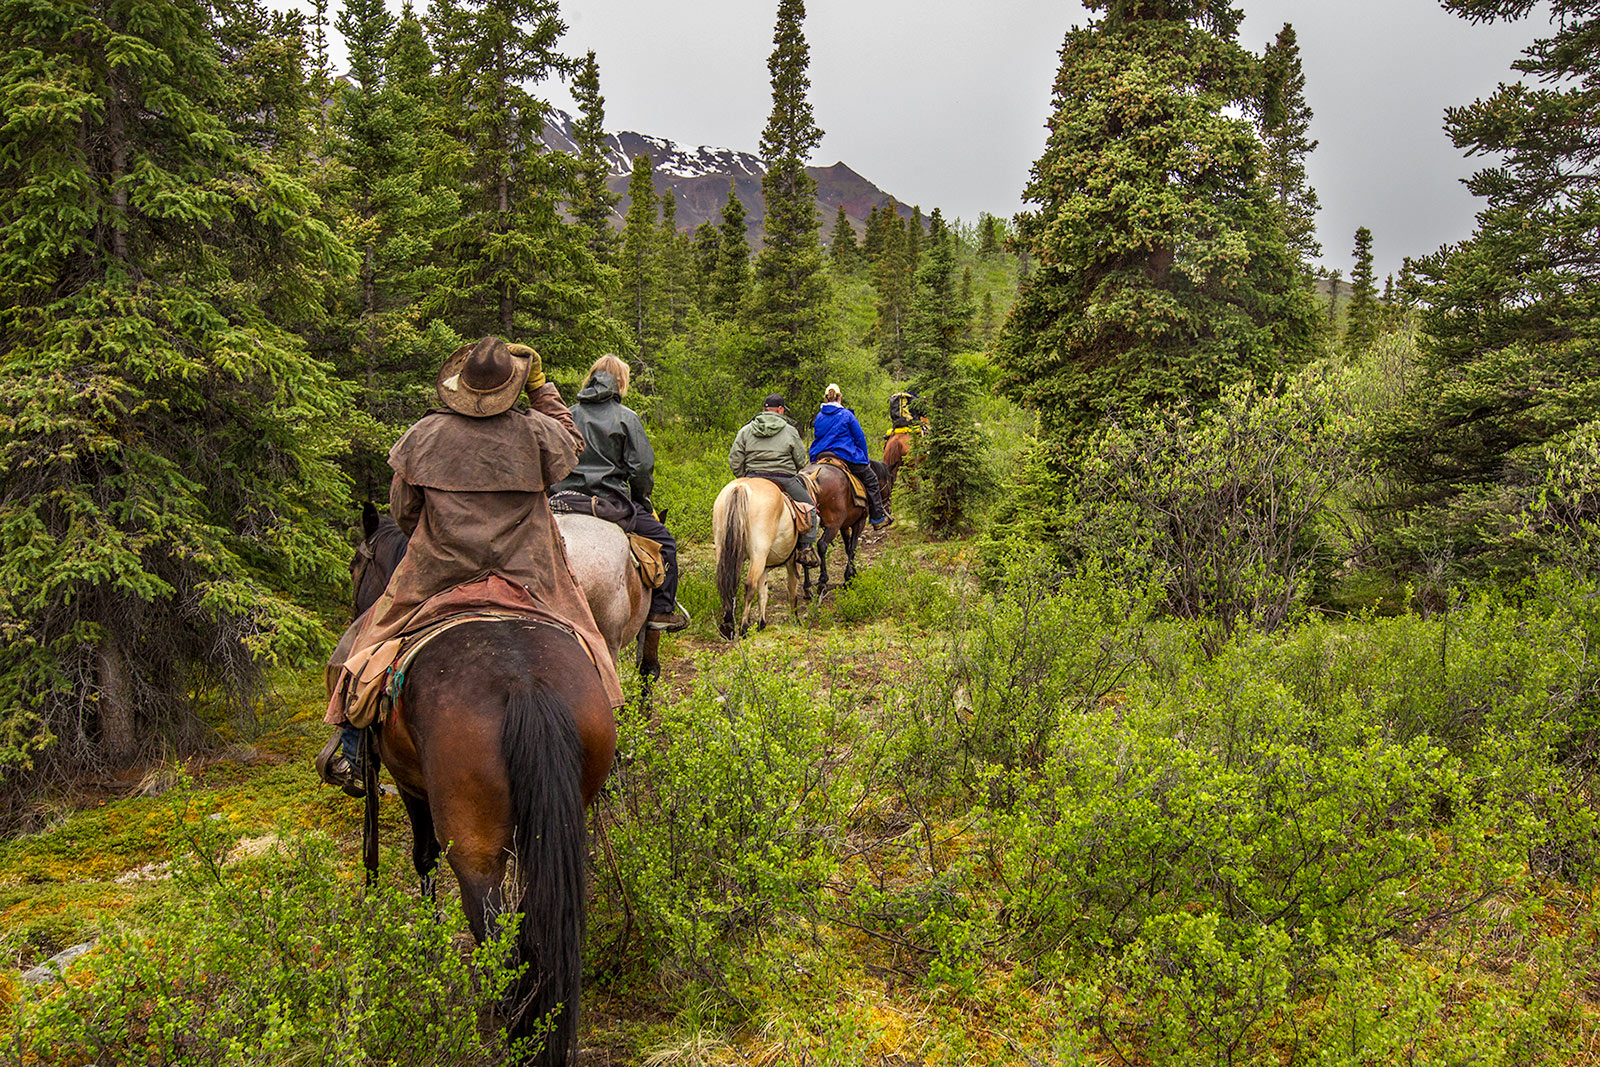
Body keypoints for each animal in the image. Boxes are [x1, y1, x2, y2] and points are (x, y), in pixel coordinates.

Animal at [350, 505, 617, 1062]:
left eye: (355, 566)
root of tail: (524, 686)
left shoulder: (411, 785)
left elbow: (422, 857)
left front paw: (428, 947)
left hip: (473, 849)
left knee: (499, 941)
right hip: (563, 824)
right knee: (536, 934)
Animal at [716, 476, 800, 643]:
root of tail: (741, 487)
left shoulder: (765, 567)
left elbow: (763, 592)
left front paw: (762, 624)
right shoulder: (792, 562)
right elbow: (792, 589)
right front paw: (795, 619)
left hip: (723, 549)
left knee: (726, 583)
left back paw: (728, 627)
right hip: (758, 554)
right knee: (749, 586)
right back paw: (743, 628)